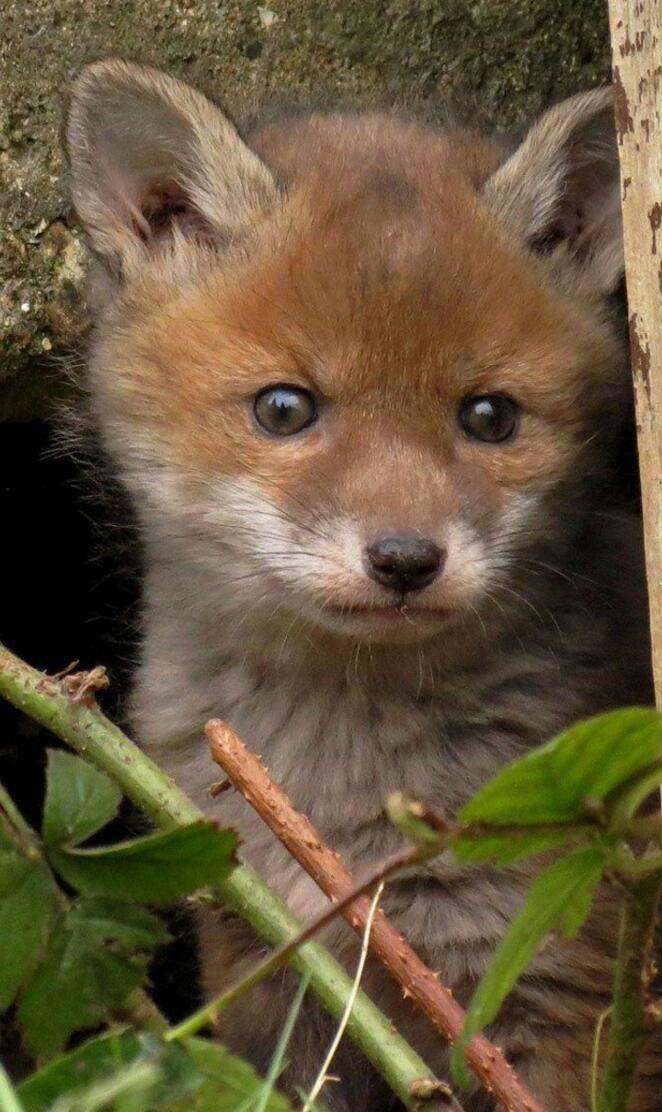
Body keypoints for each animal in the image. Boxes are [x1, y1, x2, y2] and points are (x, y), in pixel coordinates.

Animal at [65, 59, 660, 1110]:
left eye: (490, 417)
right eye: (284, 408)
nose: (406, 559)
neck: (339, 784)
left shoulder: (560, 990)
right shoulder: (276, 976)